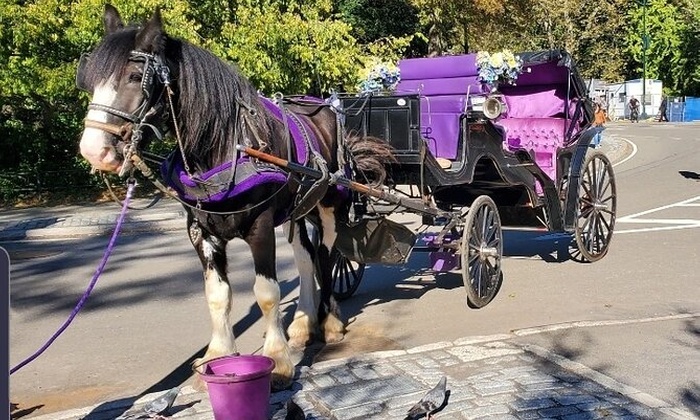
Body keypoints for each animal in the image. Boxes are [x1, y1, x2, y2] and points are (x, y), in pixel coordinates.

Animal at [78, 4, 394, 388]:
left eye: (136, 77)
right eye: (89, 81)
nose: (94, 151)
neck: (225, 147)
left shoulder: (260, 227)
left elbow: (267, 294)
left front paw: (278, 360)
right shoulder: (201, 232)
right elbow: (217, 296)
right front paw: (218, 354)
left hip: (331, 203)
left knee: (326, 255)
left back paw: (330, 321)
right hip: (297, 210)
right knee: (306, 258)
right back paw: (303, 322)